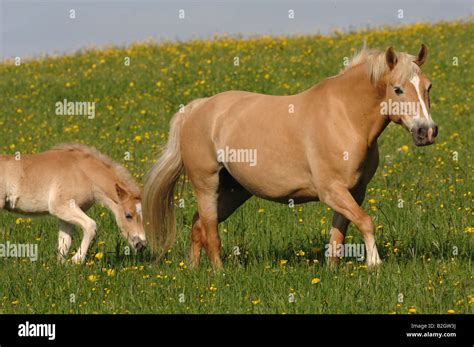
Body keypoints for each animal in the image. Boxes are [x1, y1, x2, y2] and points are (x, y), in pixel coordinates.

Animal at [0, 144, 145, 264]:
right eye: (128, 215)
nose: (141, 245)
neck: (83, 173)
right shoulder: (61, 207)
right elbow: (91, 226)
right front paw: (76, 260)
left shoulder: (66, 216)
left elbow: (64, 241)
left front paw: (61, 267)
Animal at [143, 44, 436, 270]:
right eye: (397, 89)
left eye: (428, 87)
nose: (427, 131)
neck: (343, 117)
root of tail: (196, 109)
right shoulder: (331, 191)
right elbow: (365, 222)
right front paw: (374, 264)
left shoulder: (353, 192)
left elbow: (338, 237)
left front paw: (333, 271)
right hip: (206, 185)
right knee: (210, 231)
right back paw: (219, 273)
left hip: (232, 192)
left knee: (197, 226)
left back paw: (193, 270)